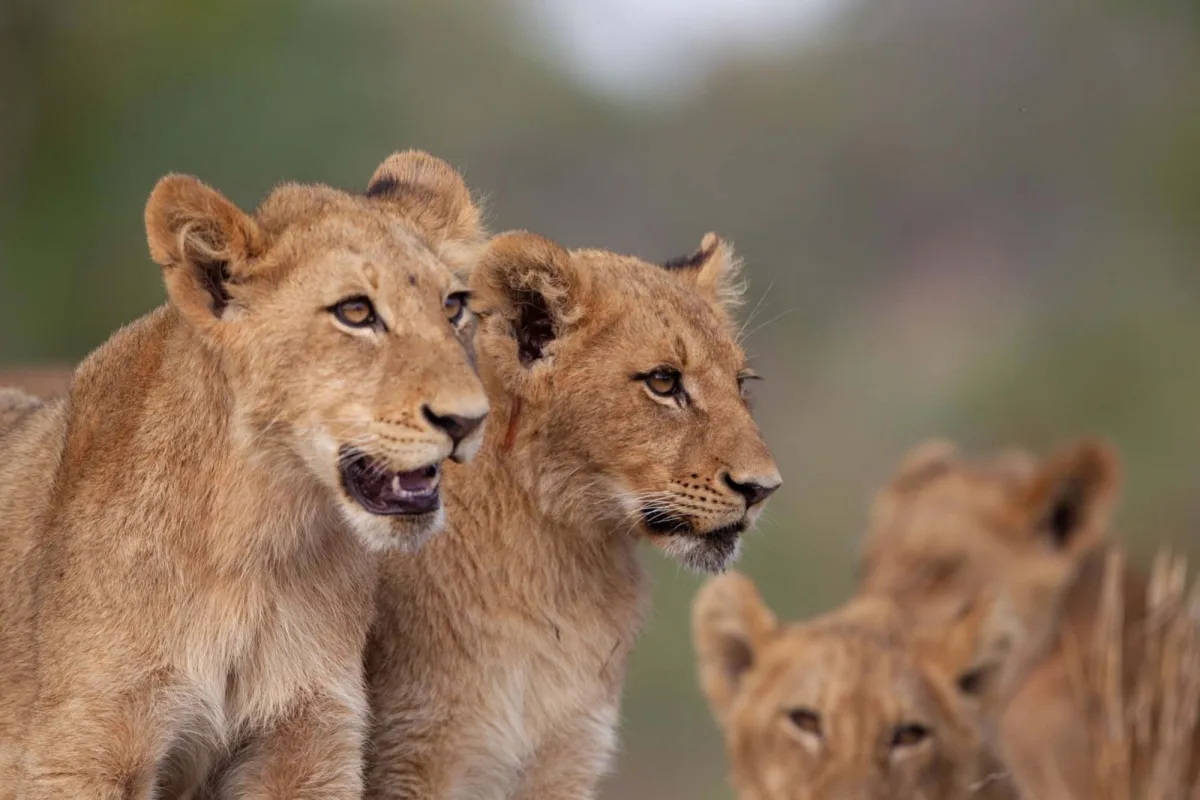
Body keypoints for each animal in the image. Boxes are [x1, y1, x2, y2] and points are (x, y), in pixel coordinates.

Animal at [0, 150, 489, 799]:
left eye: (453, 306)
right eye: (355, 312)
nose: (468, 419)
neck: (258, 550)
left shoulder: (308, 743)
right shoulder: (81, 750)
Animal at [365, 231, 781, 798]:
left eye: (741, 384)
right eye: (663, 381)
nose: (763, 488)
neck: (561, 568)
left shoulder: (566, 755)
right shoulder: (409, 754)